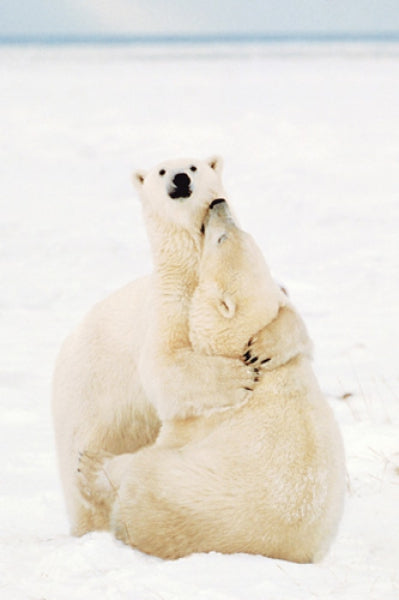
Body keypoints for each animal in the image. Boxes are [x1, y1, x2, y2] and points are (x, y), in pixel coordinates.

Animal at [78, 199, 346, 564]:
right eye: (240, 230)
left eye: (222, 240)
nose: (218, 203)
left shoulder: (201, 419)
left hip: (172, 486)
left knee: (141, 469)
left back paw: (92, 467)